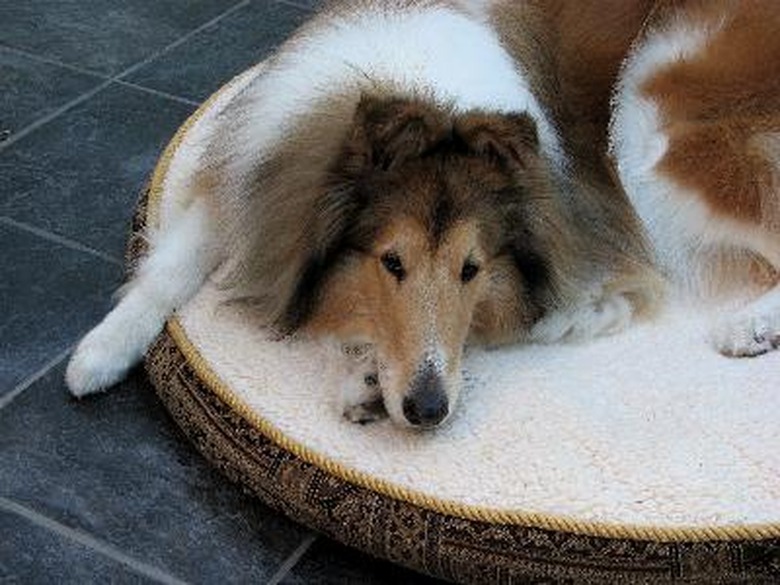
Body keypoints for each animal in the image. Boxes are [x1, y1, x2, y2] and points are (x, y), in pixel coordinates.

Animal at [65, 0, 676, 428]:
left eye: (471, 270)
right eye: (391, 262)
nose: (427, 411)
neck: (418, 83)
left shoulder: (599, 251)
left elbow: (521, 318)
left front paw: (362, 375)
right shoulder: (249, 185)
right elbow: (166, 272)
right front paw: (99, 353)